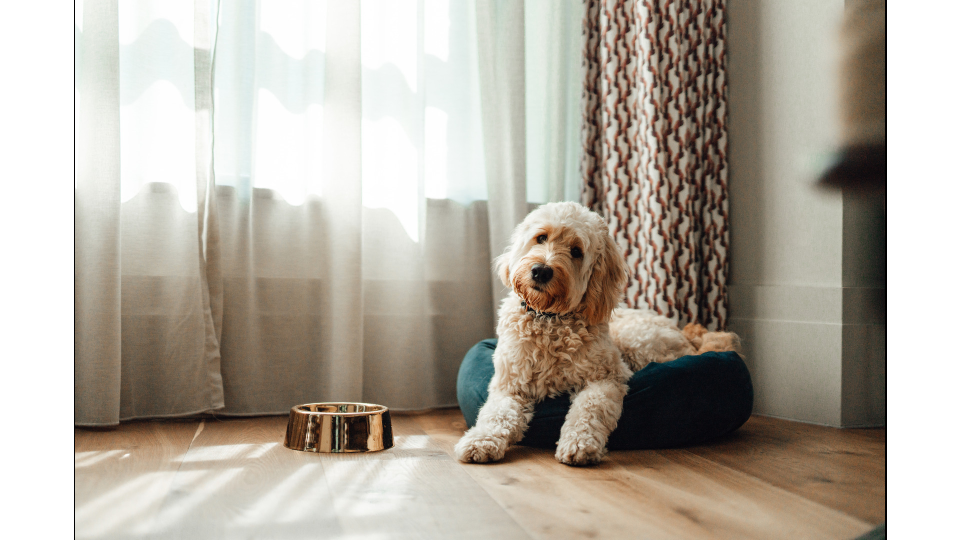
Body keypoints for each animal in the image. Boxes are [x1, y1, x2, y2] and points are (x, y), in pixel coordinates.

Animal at [454, 200, 740, 466]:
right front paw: (481, 440)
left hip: (639, 344)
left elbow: (589, 410)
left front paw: (579, 443)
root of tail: (686, 335)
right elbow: (495, 414)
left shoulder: (606, 378)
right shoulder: (509, 385)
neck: (550, 320)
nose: (541, 271)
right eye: (541, 237)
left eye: (576, 251)